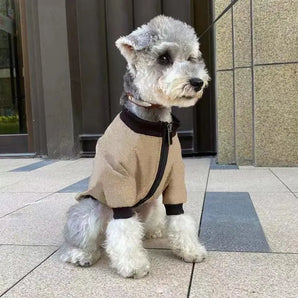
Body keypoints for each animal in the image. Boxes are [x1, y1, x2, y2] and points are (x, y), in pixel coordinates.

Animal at [60, 15, 210, 278]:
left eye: (192, 57)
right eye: (164, 58)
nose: (197, 82)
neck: (157, 126)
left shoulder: (175, 179)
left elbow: (179, 217)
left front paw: (190, 250)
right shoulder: (119, 181)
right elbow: (124, 229)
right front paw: (133, 264)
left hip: (152, 205)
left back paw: (153, 232)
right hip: (91, 209)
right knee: (85, 237)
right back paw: (81, 254)